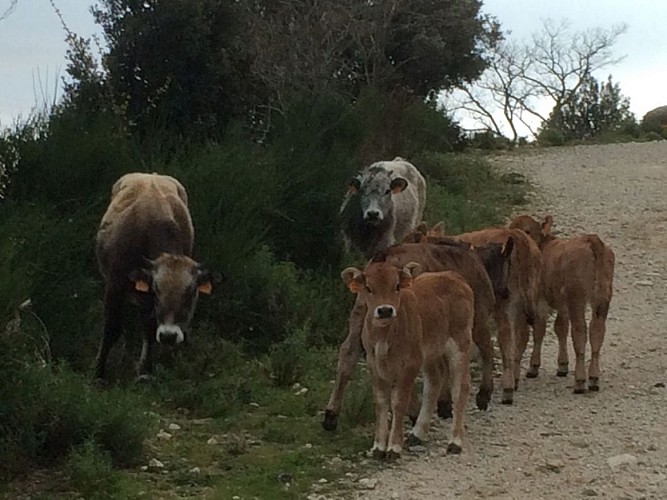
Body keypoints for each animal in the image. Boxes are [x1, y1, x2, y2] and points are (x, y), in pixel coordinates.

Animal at [94, 172, 219, 382]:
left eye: (190, 293)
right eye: (157, 290)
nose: (169, 336)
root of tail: (150, 175)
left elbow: (150, 330)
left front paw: (145, 371)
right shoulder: (114, 286)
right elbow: (111, 330)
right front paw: (98, 374)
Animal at [323, 241, 502, 431]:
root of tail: (386, 254)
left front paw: (444, 403)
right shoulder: (477, 320)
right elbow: (486, 350)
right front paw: (483, 395)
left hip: (361, 313)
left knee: (348, 352)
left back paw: (331, 415)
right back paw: (415, 412)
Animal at [342, 259, 474, 458]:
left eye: (396, 286)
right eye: (368, 288)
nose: (385, 310)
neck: (385, 337)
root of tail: (452, 275)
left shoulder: (410, 364)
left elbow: (398, 402)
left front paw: (394, 447)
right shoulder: (374, 365)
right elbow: (381, 402)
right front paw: (378, 447)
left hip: (460, 342)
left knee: (461, 387)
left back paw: (455, 442)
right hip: (430, 352)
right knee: (434, 382)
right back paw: (417, 433)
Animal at [509, 215, 615, 393]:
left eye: (527, 231)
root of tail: (591, 239)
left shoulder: (539, 299)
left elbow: (539, 330)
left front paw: (533, 367)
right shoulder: (562, 305)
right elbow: (561, 327)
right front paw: (563, 365)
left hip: (576, 297)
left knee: (580, 332)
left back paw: (580, 381)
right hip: (603, 297)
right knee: (597, 331)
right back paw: (593, 378)